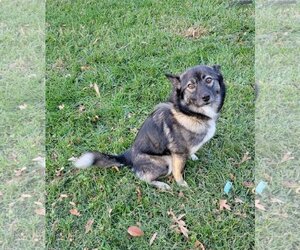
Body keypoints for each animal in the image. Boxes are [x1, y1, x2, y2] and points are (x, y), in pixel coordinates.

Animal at [74, 64, 225, 189]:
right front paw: (182, 185)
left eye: (209, 80)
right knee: (143, 177)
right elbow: (177, 173)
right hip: (165, 161)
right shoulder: (177, 154)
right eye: (190, 86)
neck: (189, 113)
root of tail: (128, 156)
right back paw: (162, 185)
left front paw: (192, 156)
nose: (206, 97)